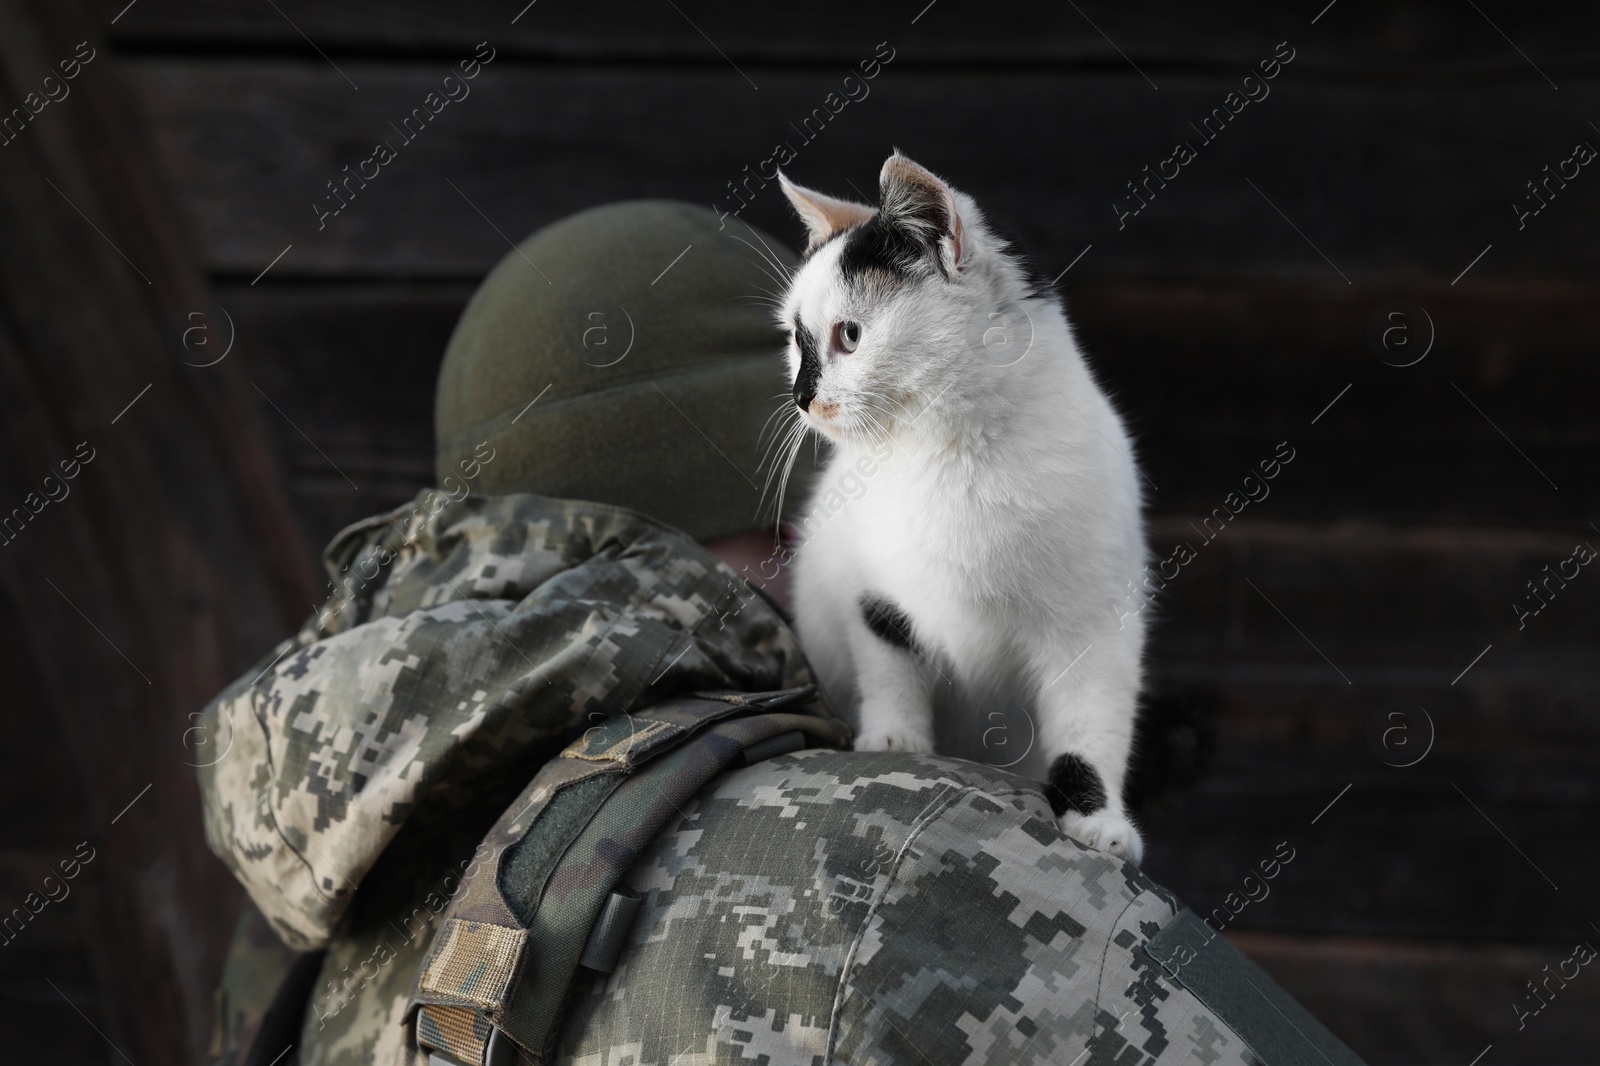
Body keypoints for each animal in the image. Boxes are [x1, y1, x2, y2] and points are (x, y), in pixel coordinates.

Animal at [764, 149, 1152, 857]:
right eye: (795, 340)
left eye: (849, 336)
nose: (802, 398)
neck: (951, 453)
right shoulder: (872, 589)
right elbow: (889, 659)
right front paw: (896, 740)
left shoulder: (1098, 614)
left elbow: (1094, 718)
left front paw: (1099, 819)